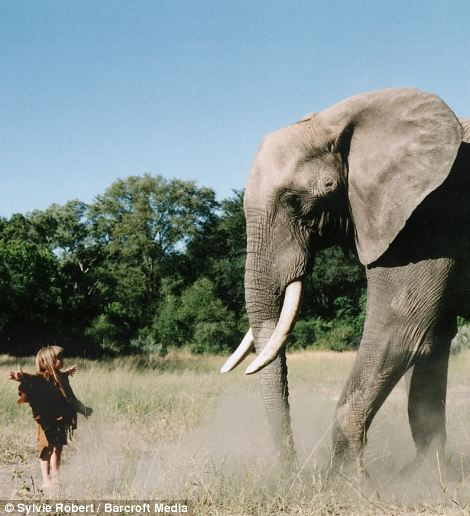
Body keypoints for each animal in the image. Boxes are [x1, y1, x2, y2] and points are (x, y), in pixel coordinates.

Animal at [221, 87, 470, 476]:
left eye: (294, 201)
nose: (295, 478)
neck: (337, 120)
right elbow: (432, 341)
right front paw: (423, 477)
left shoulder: (428, 218)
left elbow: (399, 331)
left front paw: (346, 480)